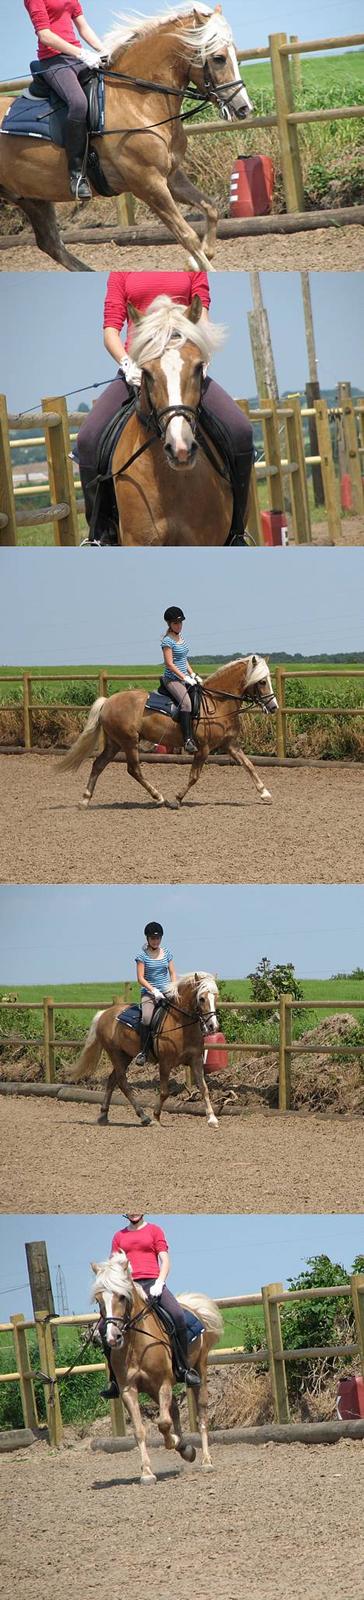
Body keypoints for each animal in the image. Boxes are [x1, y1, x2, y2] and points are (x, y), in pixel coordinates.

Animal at [0, 5, 253, 275]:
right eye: (218, 58)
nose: (244, 108)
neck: (138, 101)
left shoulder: (171, 176)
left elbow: (211, 208)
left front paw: (196, 260)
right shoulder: (148, 184)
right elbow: (187, 236)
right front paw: (200, 264)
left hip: (31, 197)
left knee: (51, 244)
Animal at [59, 656, 277, 812]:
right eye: (262, 682)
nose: (274, 707)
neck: (217, 701)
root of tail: (108, 701)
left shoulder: (231, 744)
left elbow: (249, 765)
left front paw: (265, 794)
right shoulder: (203, 748)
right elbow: (194, 776)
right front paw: (177, 799)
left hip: (115, 742)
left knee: (98, 765)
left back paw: (84, 800)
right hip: (129, 741)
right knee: (134, 770)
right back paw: (159, 797)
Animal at [69, 972, 220, 1126]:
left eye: (216, 997)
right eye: (201, 998)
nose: (213, 1026)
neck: (181, 1024)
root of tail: (104, 1013)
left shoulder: (196, 1060)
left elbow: (203, 1087)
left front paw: (212, 1119)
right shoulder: (165, 1063)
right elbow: (164, 1092)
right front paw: (156, 1118)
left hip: (125, 1056)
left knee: (112, 1080)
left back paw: (104, 1115)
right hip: (115, 1053)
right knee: (122, 1083)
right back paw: (143, 1116)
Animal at [91, 1254, 221, 1478]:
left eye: (122, 1296)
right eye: (99, 1300)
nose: (113, 1337)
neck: (136, 1344)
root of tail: (194, 1310)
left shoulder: (163, 1383)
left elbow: (163, 1422)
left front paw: (176, 1442)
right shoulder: (129, 1389)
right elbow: (140, 1430)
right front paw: (147, 1471)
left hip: (200, 1369)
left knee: (202, 1413)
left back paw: (206, 1460)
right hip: (151, 1388)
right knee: (175, 1407)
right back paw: (185, 1449)